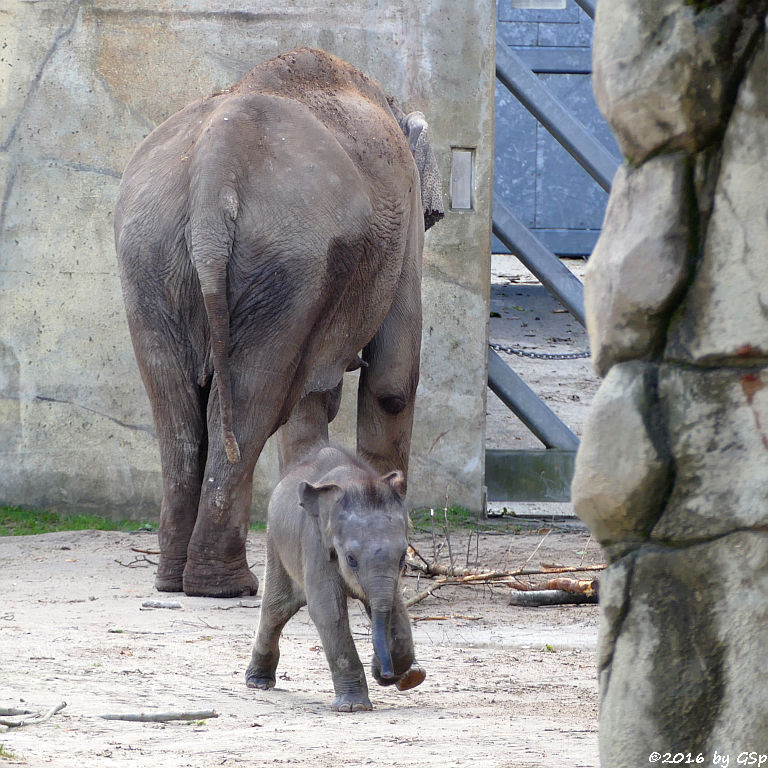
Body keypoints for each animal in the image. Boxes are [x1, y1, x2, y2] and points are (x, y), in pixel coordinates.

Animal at [114, 48, 444, 596]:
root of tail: (215, 167)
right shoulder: (408, 217)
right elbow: (393, 384)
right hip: (284, 261)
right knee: (252, 401)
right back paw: (226, 585)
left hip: (153, 253)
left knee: (177, 408)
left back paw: (178, 580)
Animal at [246, 448, 426, 712]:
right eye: (350, 559)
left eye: (404, 557)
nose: (385, 673)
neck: (355, 480)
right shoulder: (315, 542)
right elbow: (328, 609)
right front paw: (353, 707)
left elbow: (395, 606)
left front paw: (411, 677)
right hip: (275, 543)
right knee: (276, 608)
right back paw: (258, 683)